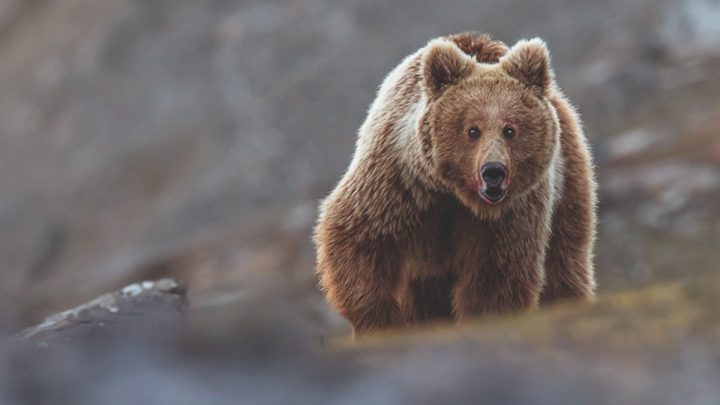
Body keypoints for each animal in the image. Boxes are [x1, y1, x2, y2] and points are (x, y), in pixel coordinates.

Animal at [314, 32, 597, 335]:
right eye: (473, 130)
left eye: (510, 130)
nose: (493, 171)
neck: (454, 193)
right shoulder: (398, 183)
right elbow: (359, 238)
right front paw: (382, 321)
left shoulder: (509, 215)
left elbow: (495, 275)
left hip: (568, 186)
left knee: (564, 262)